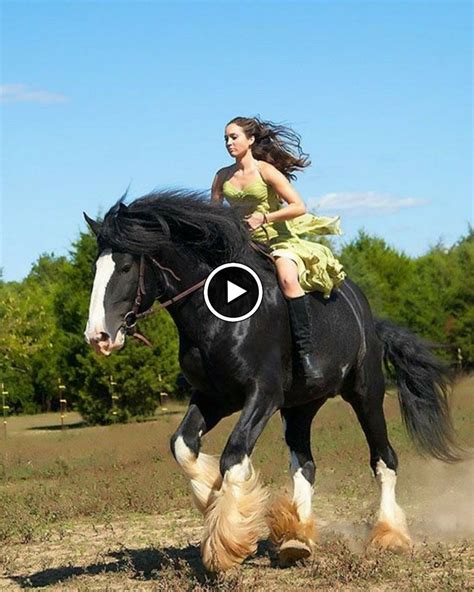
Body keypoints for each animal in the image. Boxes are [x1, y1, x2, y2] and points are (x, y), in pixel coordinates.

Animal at [84, 189, 461, 572]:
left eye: (126, 267)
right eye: (96, 268)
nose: (98, 337)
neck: (220, 313)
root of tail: (367, 316)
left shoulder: (262, 395)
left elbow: (234, 454)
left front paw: (225, 542)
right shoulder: (213, 397)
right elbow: (182, 446)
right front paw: (211, 496)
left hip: (364, 393)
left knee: (384, 460)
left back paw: (389, 535)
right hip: (300, 407)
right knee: (305, 464)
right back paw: (297, 538)